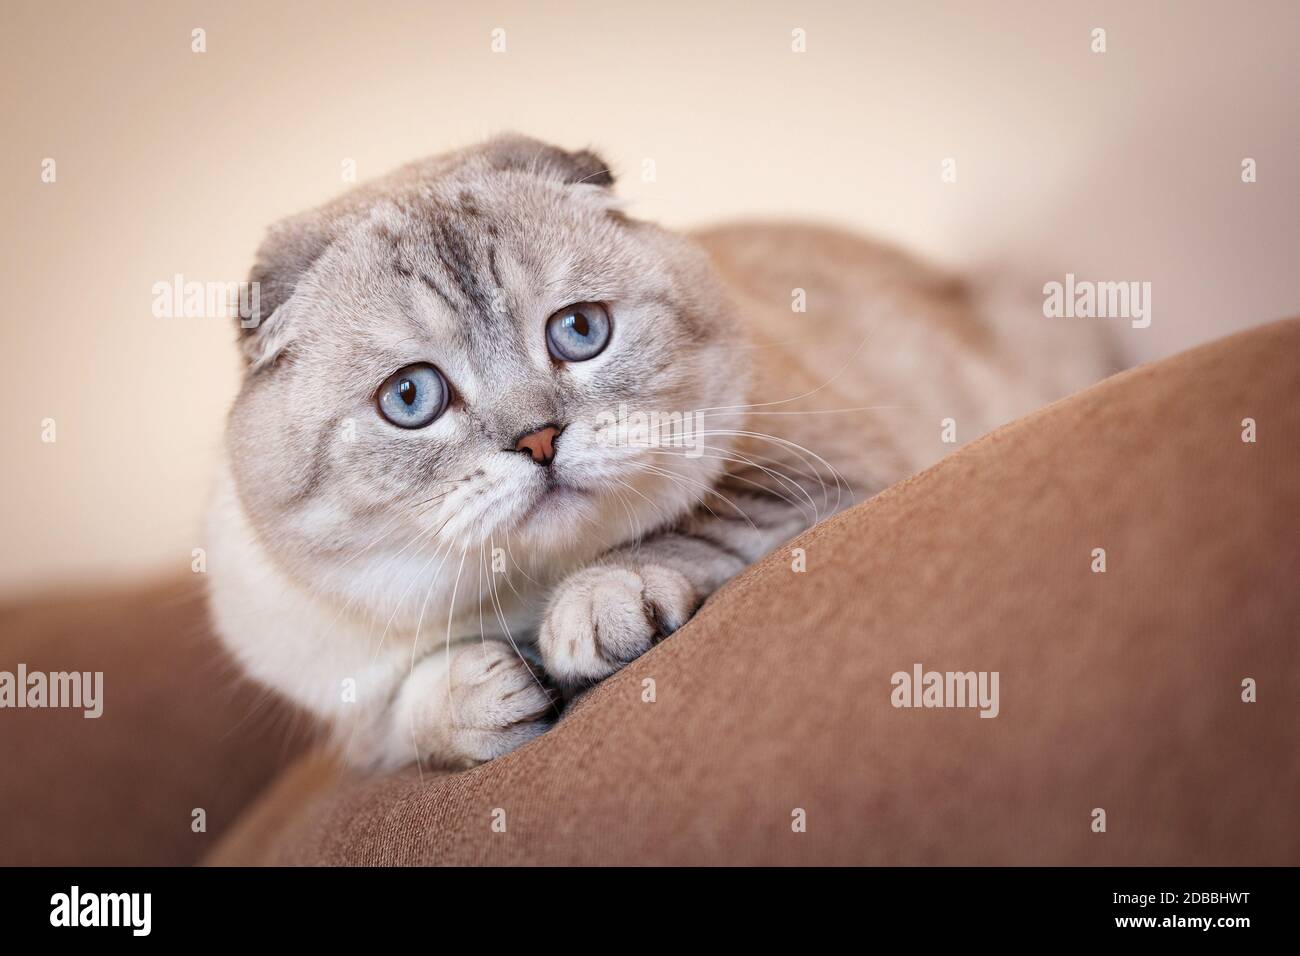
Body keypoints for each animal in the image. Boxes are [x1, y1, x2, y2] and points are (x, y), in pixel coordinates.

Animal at [205, 132, 1118, 770]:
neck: (523, 597)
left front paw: (587, 617)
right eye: (411, 399)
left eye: (579, 331)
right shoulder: (343, 699)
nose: (538, 439)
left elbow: (670, 540)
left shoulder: (814, 479)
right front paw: (491, 691)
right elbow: (410, 708)